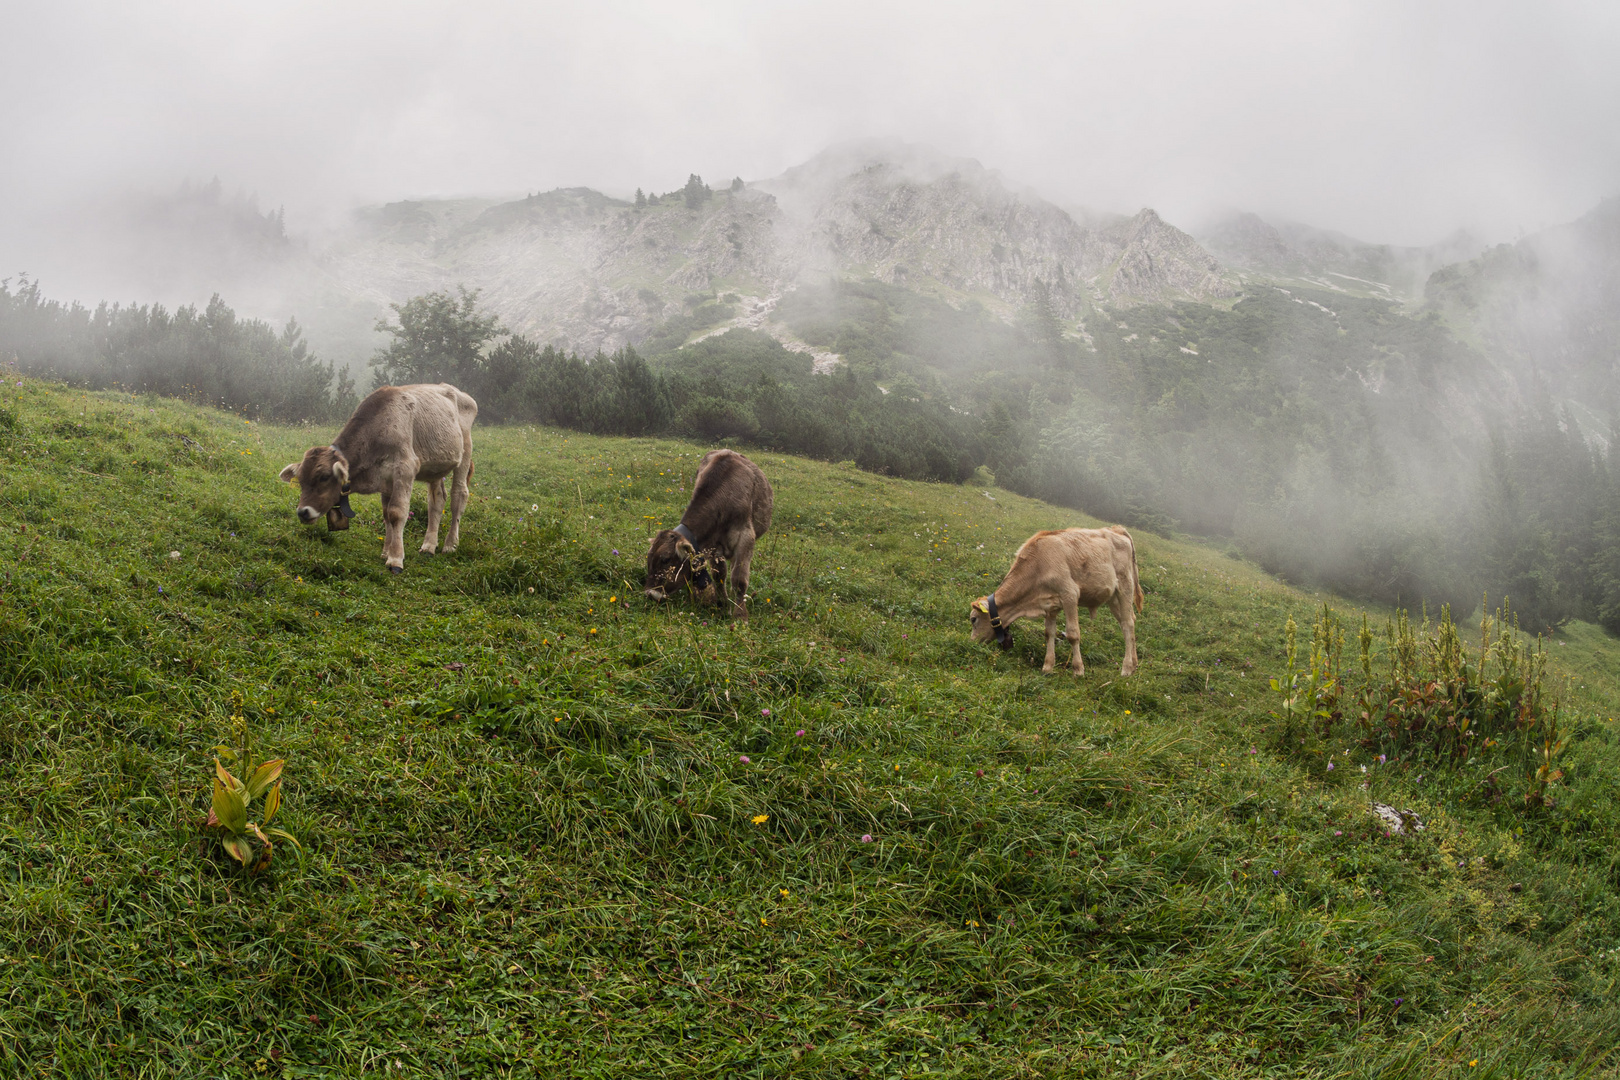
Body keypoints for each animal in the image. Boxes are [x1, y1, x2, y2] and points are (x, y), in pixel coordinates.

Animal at [644, 446, 771, 615]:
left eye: (665, 559)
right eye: (649, 557)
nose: (650, 594)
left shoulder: (746, 538)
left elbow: (739, 581)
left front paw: (740, 615)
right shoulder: (714, 546)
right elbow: (719, 576)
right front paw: (723, 605)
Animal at [965, 524, 1146, 676]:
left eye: (973, 619)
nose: (971, 643)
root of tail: (1116, 529)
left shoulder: (1070, 594)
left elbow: (1073, 634)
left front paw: (1078, 670)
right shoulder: (1049, 604)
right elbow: (1049, 633)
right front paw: (1047, 667)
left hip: (1125, 587)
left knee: (1128, 624)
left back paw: (1126, 668)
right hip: (1113, 597)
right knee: (1128, 621)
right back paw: (1134, 663)